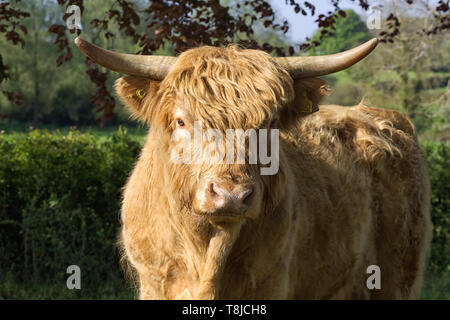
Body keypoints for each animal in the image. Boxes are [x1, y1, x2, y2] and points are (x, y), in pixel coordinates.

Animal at [76, 38, 432, 300]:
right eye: (180, 121)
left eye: (270, 124)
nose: (231, 195)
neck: (206, 252)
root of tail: (384, 117)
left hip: (397, 274)